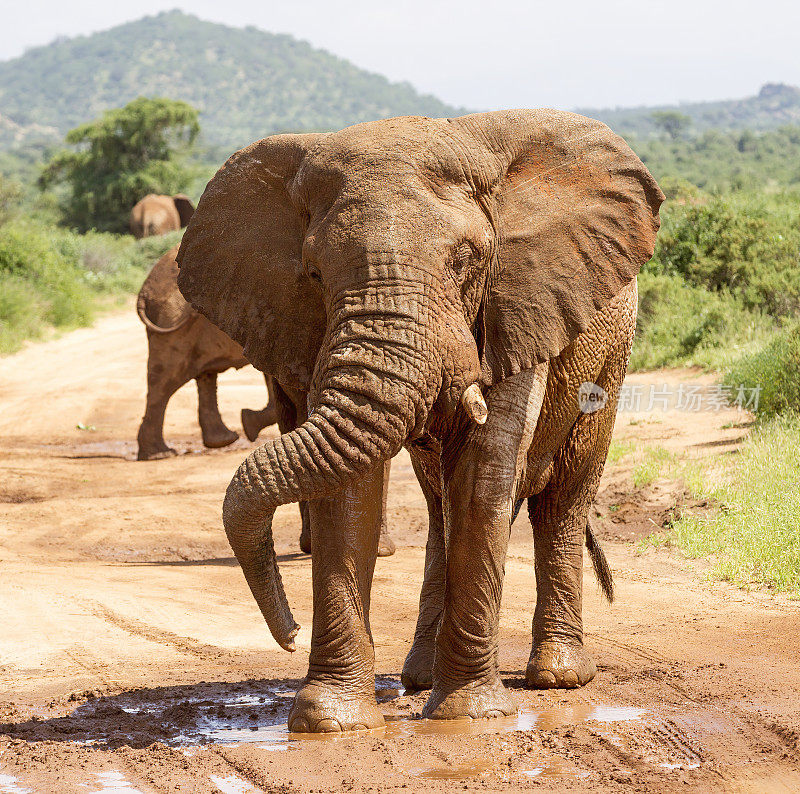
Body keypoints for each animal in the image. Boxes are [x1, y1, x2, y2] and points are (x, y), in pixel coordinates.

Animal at [177, 106, 664, 732]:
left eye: (468, 261)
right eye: (313, 273)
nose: (289, 634)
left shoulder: (519, 306)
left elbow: (485, 469)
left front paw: (470, 715)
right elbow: (348, 485)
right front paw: (329, 721)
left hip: (610, 356)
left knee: (564, 494)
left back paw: (557, 678)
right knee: (439, 507)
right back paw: (422, 677)